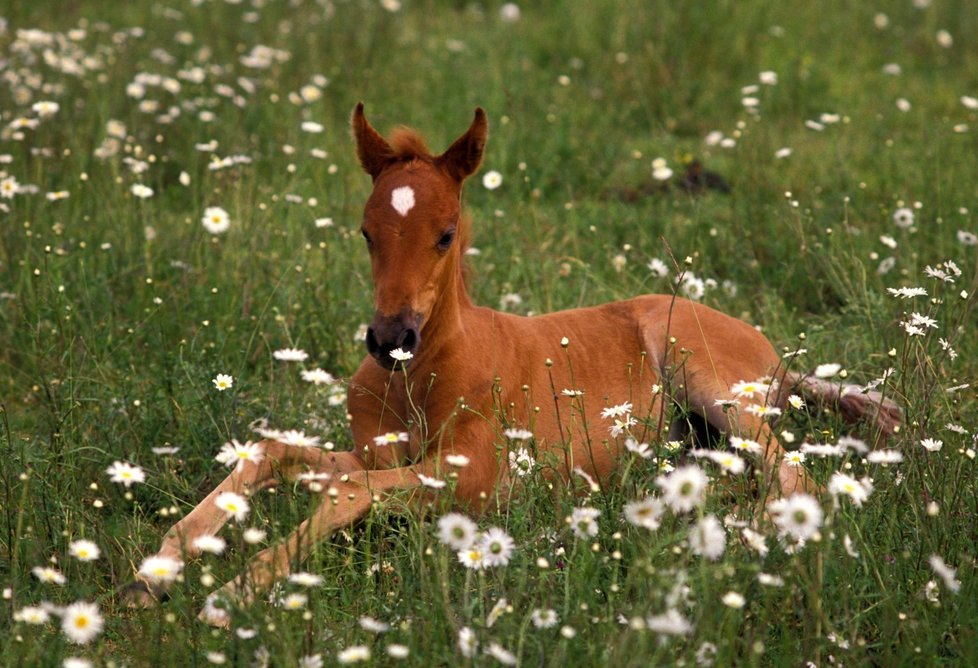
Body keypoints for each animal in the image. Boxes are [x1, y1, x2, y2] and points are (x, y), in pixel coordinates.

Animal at [132, 103, 900, 620]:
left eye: (445, 233)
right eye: (365, 230)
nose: (389, 338)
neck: (422, 376)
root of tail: (771, 352)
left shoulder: (477, 480)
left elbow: (344, 491)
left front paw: (235, 591)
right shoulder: (380, 456)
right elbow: (276, 453)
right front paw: (159, 567)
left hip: (709, 377)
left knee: (795, 476)